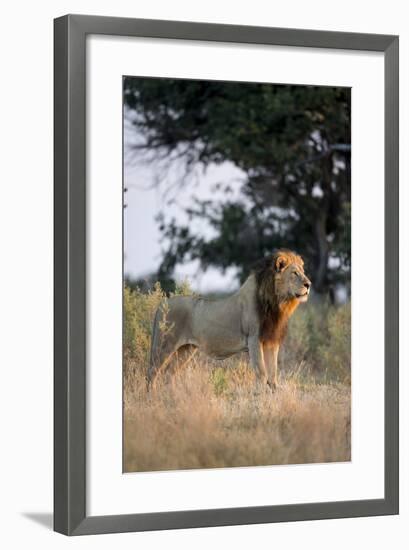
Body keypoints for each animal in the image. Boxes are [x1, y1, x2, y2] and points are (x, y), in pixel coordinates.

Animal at [147, 250, 310, 392]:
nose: (308, 284)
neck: (277, 303)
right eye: (294, 273)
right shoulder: (254, 339)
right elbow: (262, 374)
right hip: (164, 346)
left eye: (303, 272)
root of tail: (161, 304)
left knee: (170, 374)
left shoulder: (271, 341)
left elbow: (273, 375)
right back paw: (152, 397)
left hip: (185, 350)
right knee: (152, 372)